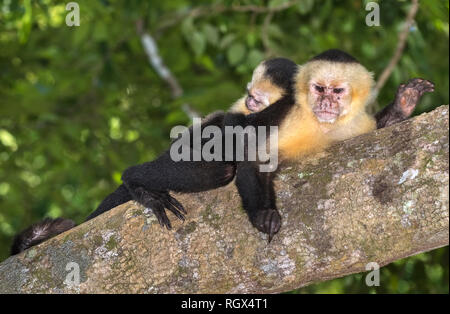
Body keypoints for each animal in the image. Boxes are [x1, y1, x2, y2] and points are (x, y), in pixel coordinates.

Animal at [10, 50, 432, 254]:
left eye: (337, 91)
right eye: (319, 89)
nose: (326, 103)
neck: (320, 122)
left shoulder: (351, 124)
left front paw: (403, 106)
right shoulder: (280, 112)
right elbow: (241, 143)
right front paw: (263, 214)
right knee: (217, 166)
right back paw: (137, 183)